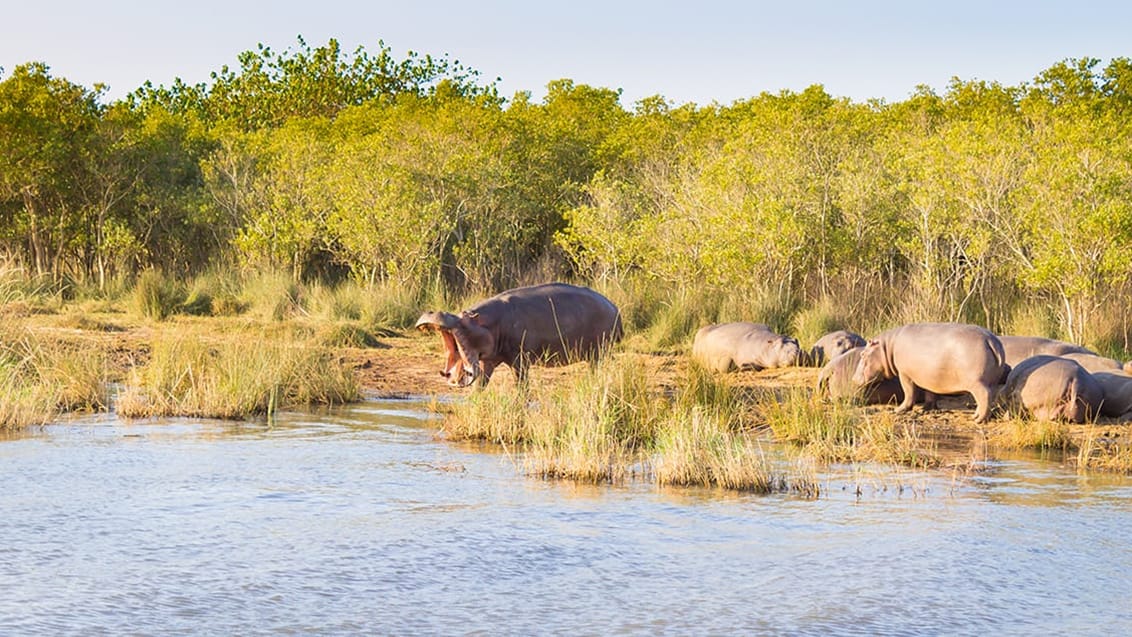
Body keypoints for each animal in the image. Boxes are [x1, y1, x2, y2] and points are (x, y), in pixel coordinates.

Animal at [416, 285, 624, 389]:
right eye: (461, 312)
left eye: (465, 318)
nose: (434, 311)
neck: (487, 324)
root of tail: (615, 307)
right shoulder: (488, 360)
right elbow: (481, 384)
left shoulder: (520, 360)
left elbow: (521, 385)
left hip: (598, 353)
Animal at [851, 323, 1009, 423]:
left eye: (863, 354)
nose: (853, 379)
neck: (887, 346)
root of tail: (991, 340)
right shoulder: (928, 376)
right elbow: (930, 392)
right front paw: (927, 409)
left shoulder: (904, 374)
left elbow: (909, 392)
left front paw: (899, 410)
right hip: (991, 382)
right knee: (988, 399)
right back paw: (977, 416)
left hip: (977, 383)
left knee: (984, 396)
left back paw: (978, 420)